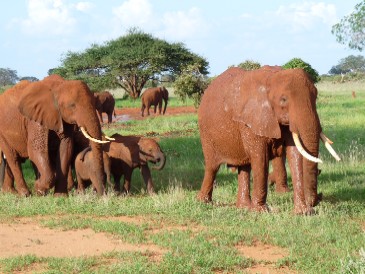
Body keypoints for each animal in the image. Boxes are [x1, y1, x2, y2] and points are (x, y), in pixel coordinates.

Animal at [196, 66, 338, 214]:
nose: (316, 201)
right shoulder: (251, 121)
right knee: (212, 167)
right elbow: (261, 158)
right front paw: (261, 211)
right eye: (283, 100)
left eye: (315, 96)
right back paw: (203, 202)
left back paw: (244, 207)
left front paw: (303, 213)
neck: (271, 79)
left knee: (244, 167)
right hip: (206, 133)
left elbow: (294, 154)